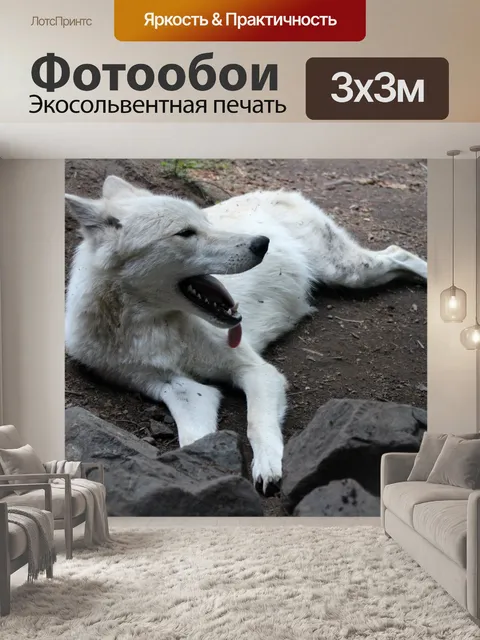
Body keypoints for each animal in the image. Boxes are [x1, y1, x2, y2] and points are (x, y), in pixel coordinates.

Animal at [65, 175, 427, 495]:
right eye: (186, 233)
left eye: (204, 221)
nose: (261, 243)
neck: (151, 328)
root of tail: (279, 190)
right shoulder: (180, 389)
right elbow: (193, 438)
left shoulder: (258, 371)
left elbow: (257, 423)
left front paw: (268, 467)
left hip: (350, 272)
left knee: (400, 252)